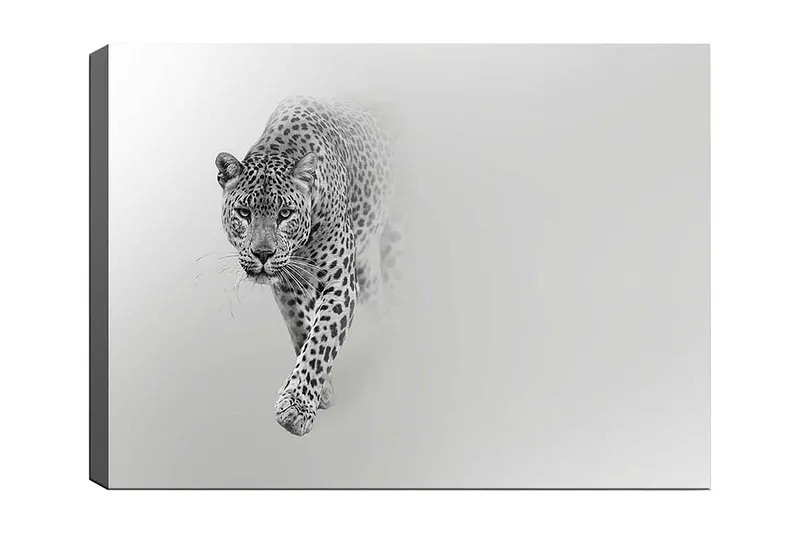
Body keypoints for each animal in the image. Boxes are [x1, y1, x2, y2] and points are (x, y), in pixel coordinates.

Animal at [215, 95, 401, 437]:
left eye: (285, 213)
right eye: (244, 212)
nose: (263, 253)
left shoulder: (340, 283)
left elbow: (322, 338)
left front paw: (297, 407)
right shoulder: (288, 285)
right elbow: (302, 330)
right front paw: (321, 391)